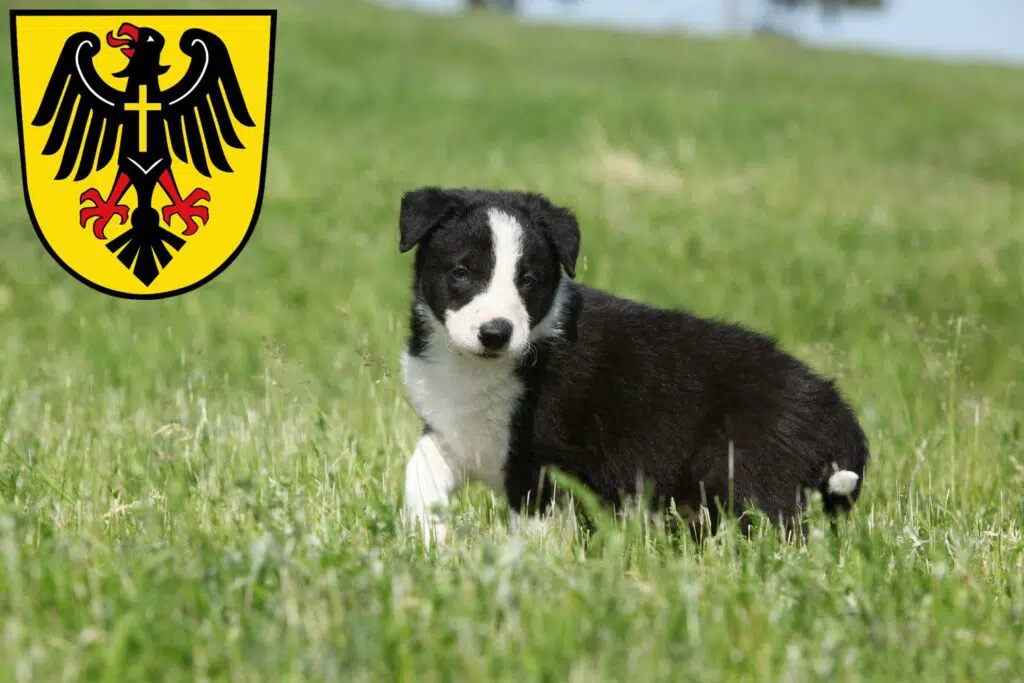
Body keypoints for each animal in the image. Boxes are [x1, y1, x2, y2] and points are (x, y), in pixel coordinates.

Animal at [395, 185, 868, 544]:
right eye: (461, 272)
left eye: (528, 280)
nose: (496, 332)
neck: (476, 367)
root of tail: (837, 411)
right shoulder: (453, 430)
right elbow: (420, 474)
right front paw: (432, 542)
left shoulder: (538, 461)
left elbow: (531, 529)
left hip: (751, 472)